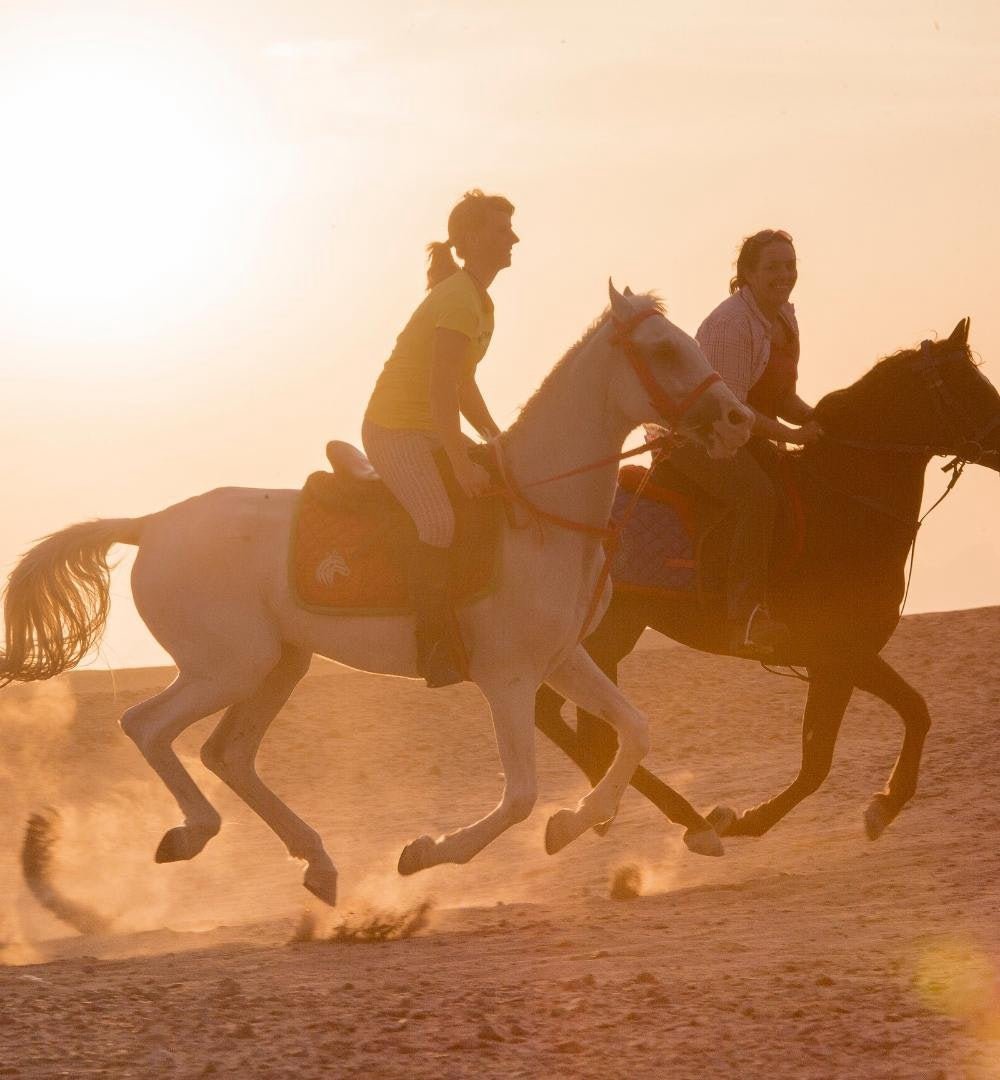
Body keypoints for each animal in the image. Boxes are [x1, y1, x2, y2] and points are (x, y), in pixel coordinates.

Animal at [0, 283, 753, 908]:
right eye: (665, 349)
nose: (738, 421)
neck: (540, 511)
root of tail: (149, 524)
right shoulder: (508, 678)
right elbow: (519, 796)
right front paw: (427, 852)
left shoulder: (564, 660)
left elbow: (635, 731)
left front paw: (573, 824)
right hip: (227, 666)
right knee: (149, 727)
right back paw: (193, 833)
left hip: (280, 663)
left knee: (228, 755)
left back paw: (318, 863)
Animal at [535, 318, 1000, 845]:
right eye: (970, 385)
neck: (843, 505)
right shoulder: (837, 654)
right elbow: (819, 762)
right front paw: (744, 820)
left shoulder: (846, 657)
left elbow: (915, 712)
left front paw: (884, 805)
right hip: (601, 637)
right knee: (564, 717)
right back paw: (680, 820)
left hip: (606, 639)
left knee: (573, 721)